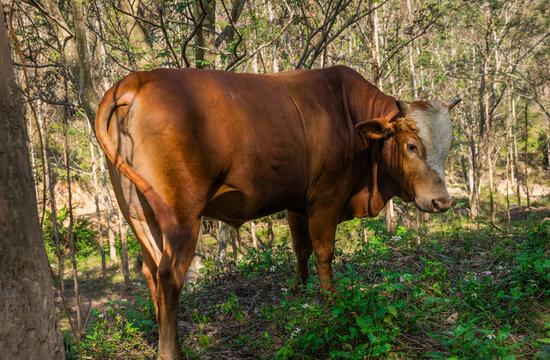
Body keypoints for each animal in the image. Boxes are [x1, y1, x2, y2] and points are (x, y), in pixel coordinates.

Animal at [96, 65, 462, 360]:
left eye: (448, 148)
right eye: (412, 146)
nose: (441, 202)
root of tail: (136, 81)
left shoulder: (297, 203)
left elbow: (301, 249)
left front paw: (298, 292)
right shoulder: (326, 198)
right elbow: (324, 251)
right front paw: (330, 302)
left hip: (139, 214)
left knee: (151, 271)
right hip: (180, 217)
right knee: (170, 274)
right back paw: (171, 351)